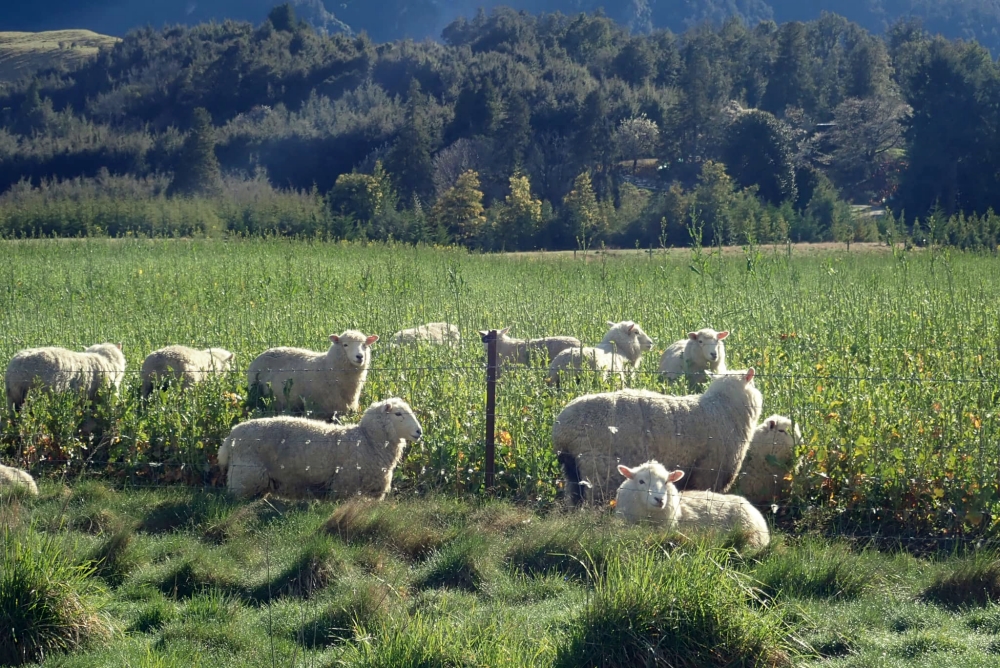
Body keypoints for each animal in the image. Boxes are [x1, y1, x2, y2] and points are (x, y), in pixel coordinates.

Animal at [217, 394, 420, 498]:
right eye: (398, 414)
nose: (419, 431)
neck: (367, 440)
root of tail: (230, 437)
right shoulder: (344, 485)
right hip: (245, 476)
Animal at [247, 330, 378, 420]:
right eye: (345, 345)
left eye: (365, 345)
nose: (360, 356)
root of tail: (266, 352)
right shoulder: (317, 411)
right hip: (257, 395)